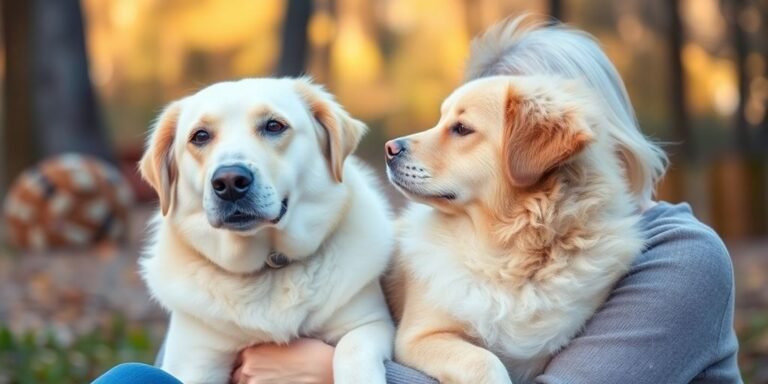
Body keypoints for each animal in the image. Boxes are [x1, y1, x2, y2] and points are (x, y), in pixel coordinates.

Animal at [136, 77, 396, 384]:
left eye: (274, 126)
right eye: (200, 136)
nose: (229, 182)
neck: (269, 267)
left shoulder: (369, 322)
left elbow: (352, 349)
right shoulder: (194, 358)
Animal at [384, 18, 656, 384]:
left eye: (461, 128)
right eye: (442, 121)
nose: (389, 148)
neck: (506, 252)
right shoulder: (419, 336)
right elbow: (483, 360)